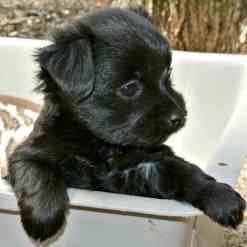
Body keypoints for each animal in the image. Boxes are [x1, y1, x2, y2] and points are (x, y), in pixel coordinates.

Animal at [7, 7, 245, 241]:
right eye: (130, 87)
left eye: (167, 74)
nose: (179, 116)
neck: (101, 145)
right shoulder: (30, 152)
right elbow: (37, 172)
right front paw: (43, 218)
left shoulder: (151, 162)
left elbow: (186, 171)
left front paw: (221, 197)